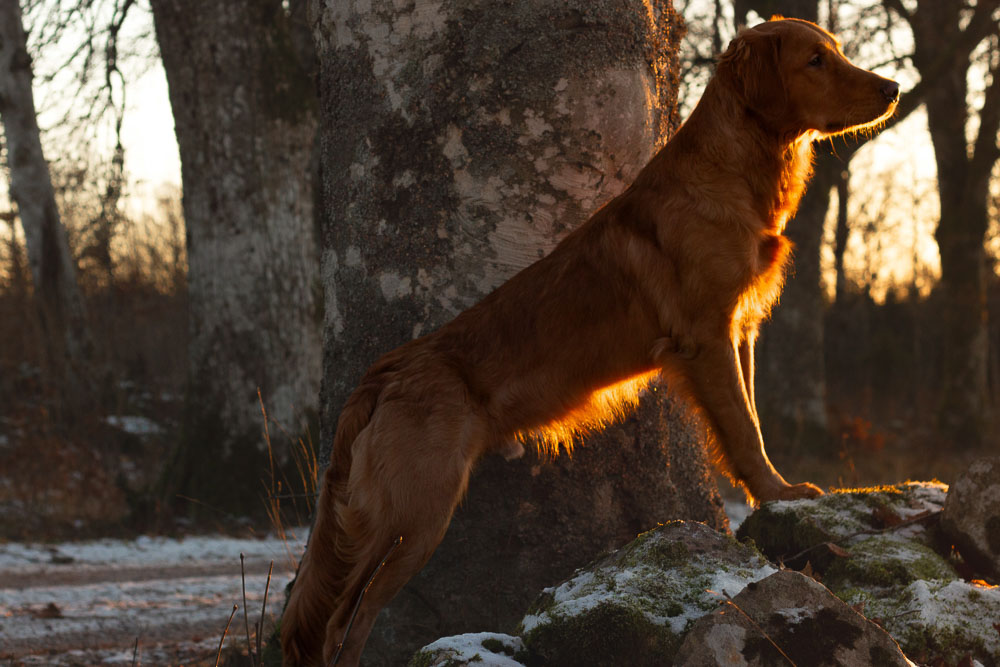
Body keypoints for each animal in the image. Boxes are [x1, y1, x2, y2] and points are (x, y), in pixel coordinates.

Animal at [282, 17, 900, 667]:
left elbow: (750, 416)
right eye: (815, 61)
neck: (733, 171)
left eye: (837, 53)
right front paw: (778, 493)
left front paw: (770, 493)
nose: (893, 89)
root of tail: (385, 372)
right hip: (414, 514)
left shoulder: (741, 330)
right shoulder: (707, 335)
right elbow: (743, 427)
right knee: (341, 618)